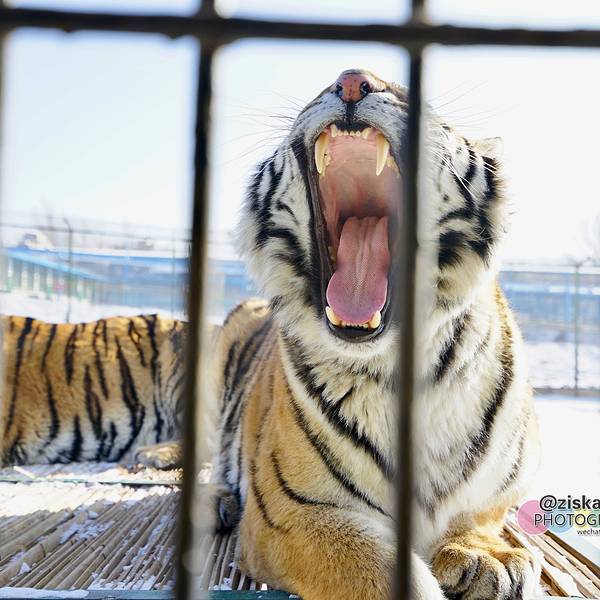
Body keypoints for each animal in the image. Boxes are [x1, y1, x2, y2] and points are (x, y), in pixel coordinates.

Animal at [195, 70, 540, 600]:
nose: (352, 81)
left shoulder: (504, 484)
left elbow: (481, 512)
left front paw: (488, 557)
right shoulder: (292, 512)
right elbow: (372, 565)